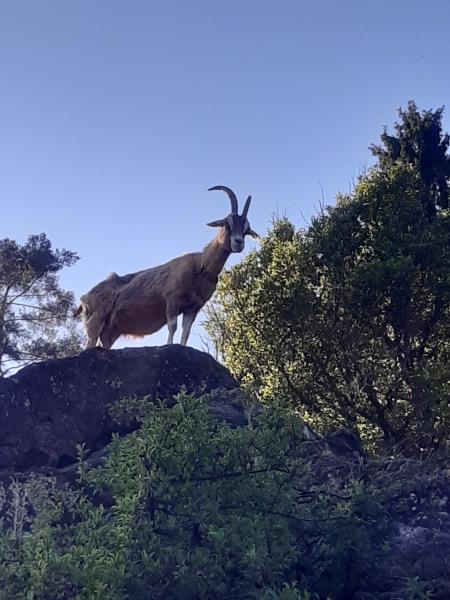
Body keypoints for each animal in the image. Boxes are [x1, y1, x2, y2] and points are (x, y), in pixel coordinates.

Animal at [73, 185, 256, 350]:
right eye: (227, 223)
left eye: (246, 229)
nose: (238, 242)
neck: (201, 266)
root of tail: (85, 298)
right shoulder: (172, 299)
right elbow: (172, 325)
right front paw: (169, 345)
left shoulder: (193, 307)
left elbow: (186, 331)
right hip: (96, 320)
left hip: (111, 329)